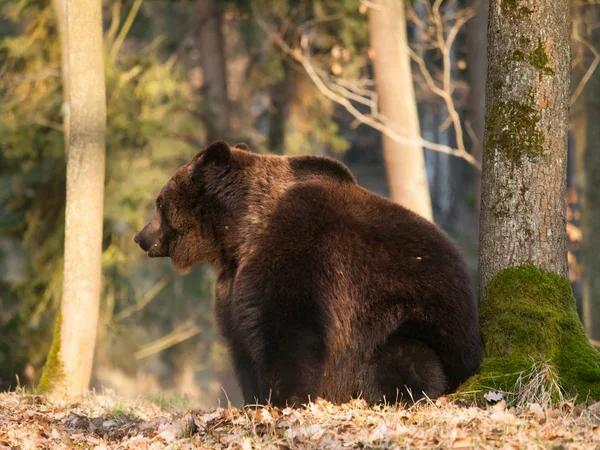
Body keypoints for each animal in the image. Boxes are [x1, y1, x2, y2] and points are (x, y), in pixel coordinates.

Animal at [136, 142, 482, 408]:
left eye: (159, 202)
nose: (141, 237)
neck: (239, 233)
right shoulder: (233, 282)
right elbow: (240, 341)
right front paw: (254, 400)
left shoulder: (301, 247)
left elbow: (291, 329)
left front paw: (288, 399)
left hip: (418, 324)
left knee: (407, 358)